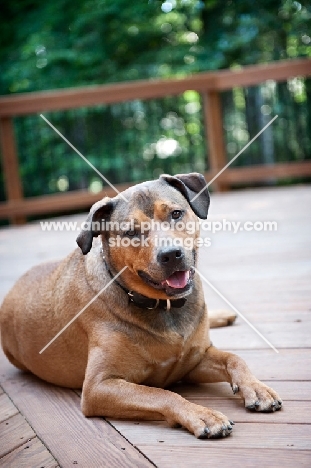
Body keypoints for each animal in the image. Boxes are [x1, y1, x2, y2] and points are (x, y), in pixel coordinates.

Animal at [0, 173, 282, 438]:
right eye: (131, 233)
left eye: (176, 214)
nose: (171, 254)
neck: (164, 306)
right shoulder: (99, 386)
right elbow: (160, 393)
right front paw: (203, 415)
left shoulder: (195, 359)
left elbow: (234, 359)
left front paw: (257, 388)